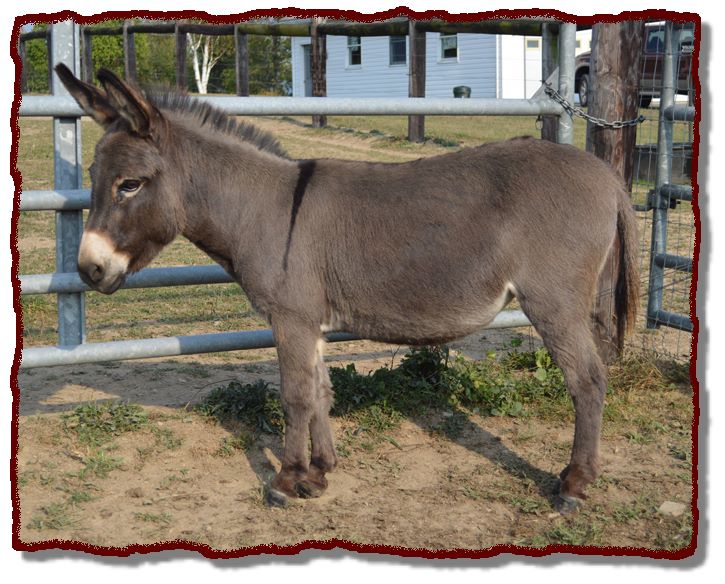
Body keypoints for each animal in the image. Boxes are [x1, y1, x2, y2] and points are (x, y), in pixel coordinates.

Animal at [56, 64, 639, 513]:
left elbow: (294, 394)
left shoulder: (289, 318)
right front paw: (319, 472)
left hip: (554, 302)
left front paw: (286, 481)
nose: (88, 270)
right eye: (93, 178)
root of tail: (609, 177)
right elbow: (320, 392)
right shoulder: (309, 321)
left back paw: (573, 485)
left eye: (130, 185)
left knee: (588, 381)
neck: (261, 208)